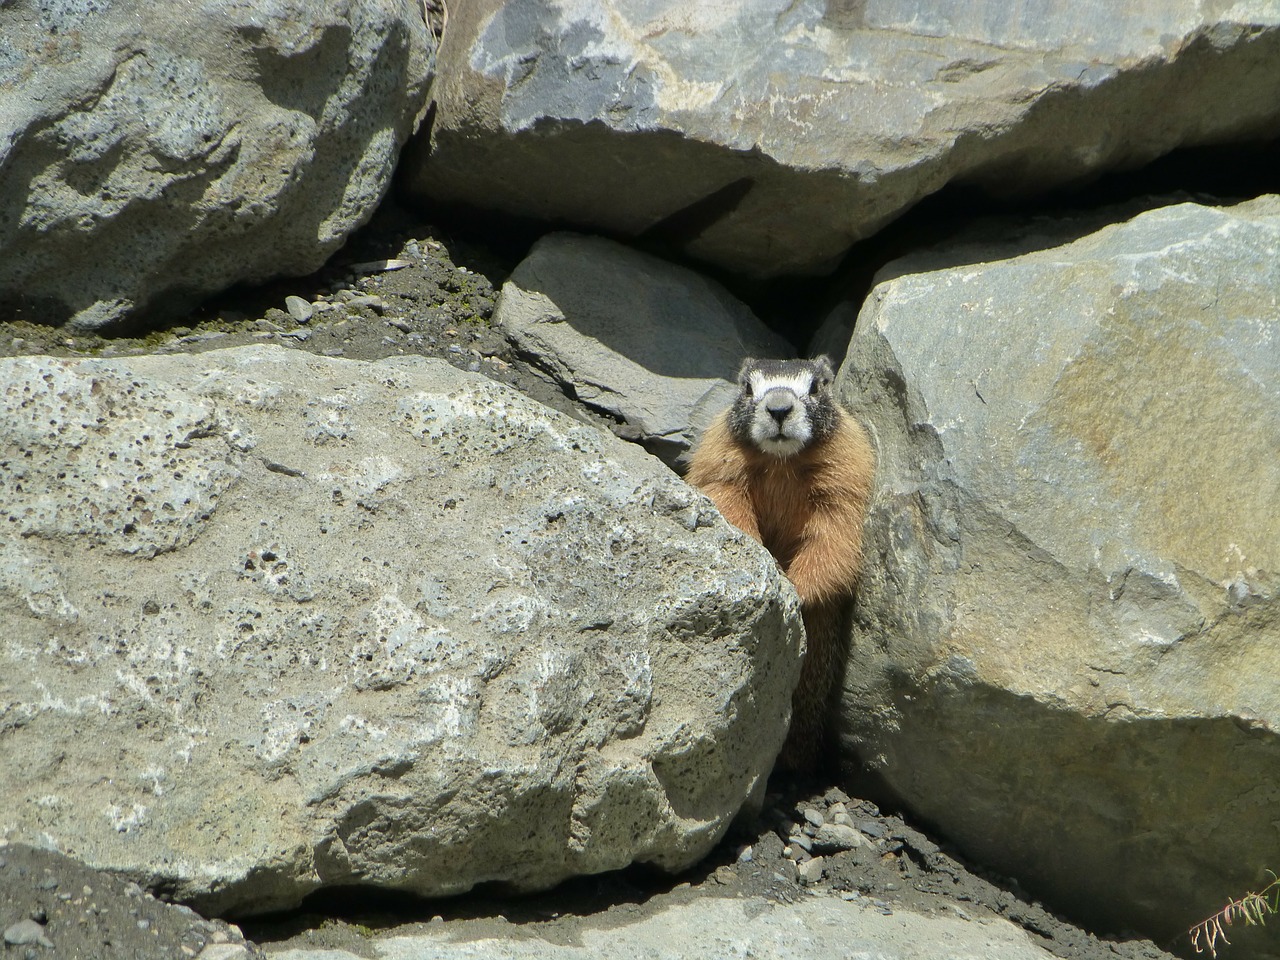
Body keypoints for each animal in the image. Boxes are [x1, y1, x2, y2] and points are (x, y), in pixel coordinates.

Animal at [691, 358, 870, 773]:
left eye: (817, 386)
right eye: (746, 387)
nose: (778, 409)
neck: (781, 463)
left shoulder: (846, 473)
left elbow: (833, 537)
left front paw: (796, 591)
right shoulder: (720, 459)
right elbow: (727, 502)